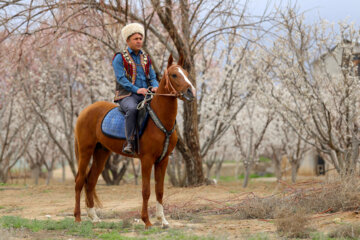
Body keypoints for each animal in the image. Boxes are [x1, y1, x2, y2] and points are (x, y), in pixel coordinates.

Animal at [73, 54, 195, 229]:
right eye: (174, 75)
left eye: (185, 72)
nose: (191, 92)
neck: (160, 119)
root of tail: (85, 111)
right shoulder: (147, 159)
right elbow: (146, 190)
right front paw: (147, 221)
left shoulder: (163, 160)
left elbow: (159, 190)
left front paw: (163, 220)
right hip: (85, 151)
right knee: (79, 181)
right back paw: (77, 217)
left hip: (101, 153)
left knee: (90, 182)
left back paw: (94, 217)